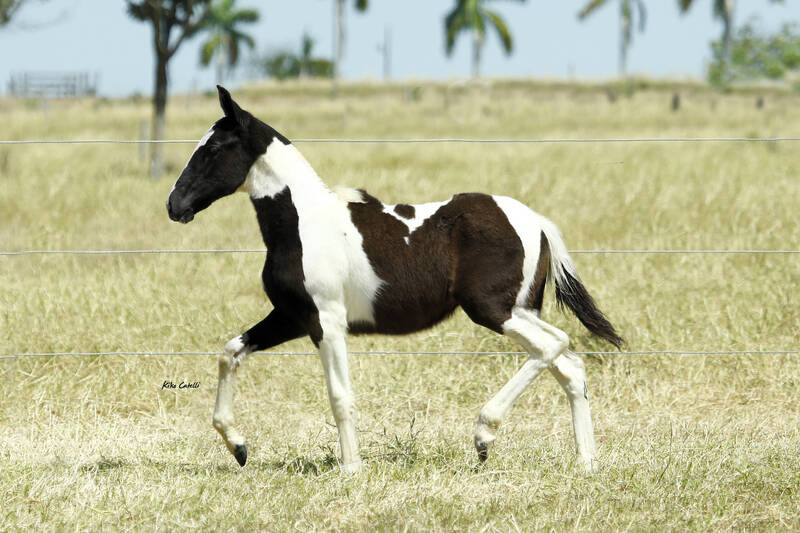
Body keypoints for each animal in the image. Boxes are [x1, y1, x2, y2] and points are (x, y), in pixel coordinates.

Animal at [167, 86, 623, 474]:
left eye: (214, 148)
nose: (175, 205)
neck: (303, 224)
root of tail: (537, 221)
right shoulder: (293, 317)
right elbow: (229, 353)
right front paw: (238, 447)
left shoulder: (327, 321)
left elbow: (340, 396)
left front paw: (351, 469)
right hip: (521, 309)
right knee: (569, 365)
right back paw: (586, 461)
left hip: (494, 310)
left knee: (553, 345)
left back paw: (484, 436)